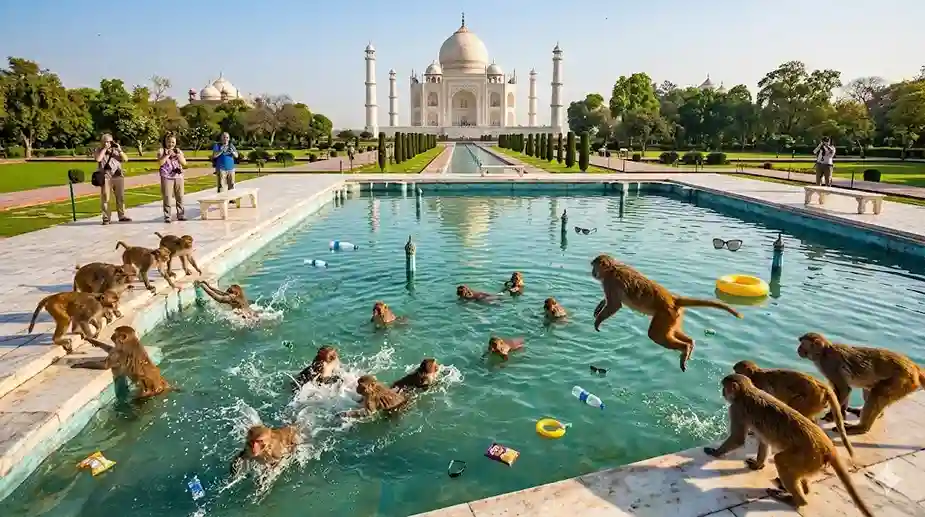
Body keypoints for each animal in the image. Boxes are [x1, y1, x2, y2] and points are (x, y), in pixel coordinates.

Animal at [590, 254, 742, 372]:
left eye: (594, 266)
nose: (592, 272)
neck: (613, 268)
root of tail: (672, 299)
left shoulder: (610, 282)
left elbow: (615, 305)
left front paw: (598, 321)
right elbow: (611, 302)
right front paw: (600, 305)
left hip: (665, 314)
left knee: (655, 335)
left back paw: (685, 347)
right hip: (674, 316)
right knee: (672, 332)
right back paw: (690, 344)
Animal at [704, 374, 873, 517]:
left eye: (725, 388)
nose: (723, 392)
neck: (747, 391)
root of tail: (828, 448)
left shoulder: (736, 408)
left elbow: (738, 438)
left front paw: (715, 452)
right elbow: (763, 440)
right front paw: (758, 464)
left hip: (807, 456)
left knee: (780, 460)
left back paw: (797, 500)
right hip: (812, 461)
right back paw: (804, 489)